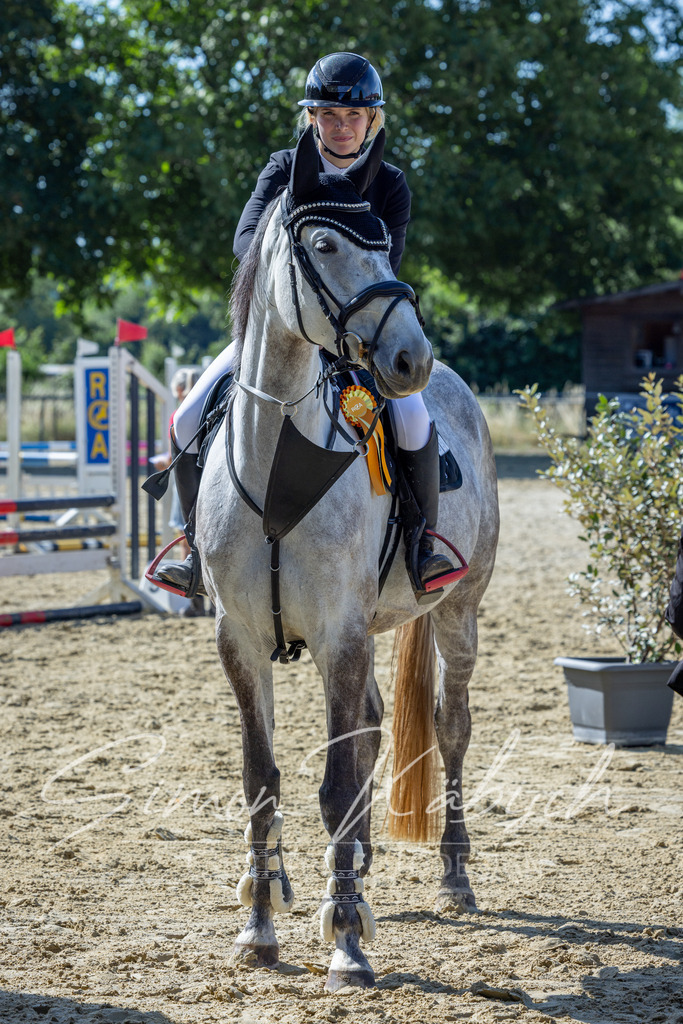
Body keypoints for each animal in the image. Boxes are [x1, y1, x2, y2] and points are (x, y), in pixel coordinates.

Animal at [195, 125, 499, 991]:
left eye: (383, 247)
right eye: (324, 245)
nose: (409, 360)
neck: (277, 460)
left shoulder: (339, 631)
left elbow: (334, 784)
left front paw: (346, 943)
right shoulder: (240, 639)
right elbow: (261, 782)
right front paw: (260, 926)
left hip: (456, 612)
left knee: (449, 726)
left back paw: (453, 876)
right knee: (366, 726)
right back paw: (353, 865)